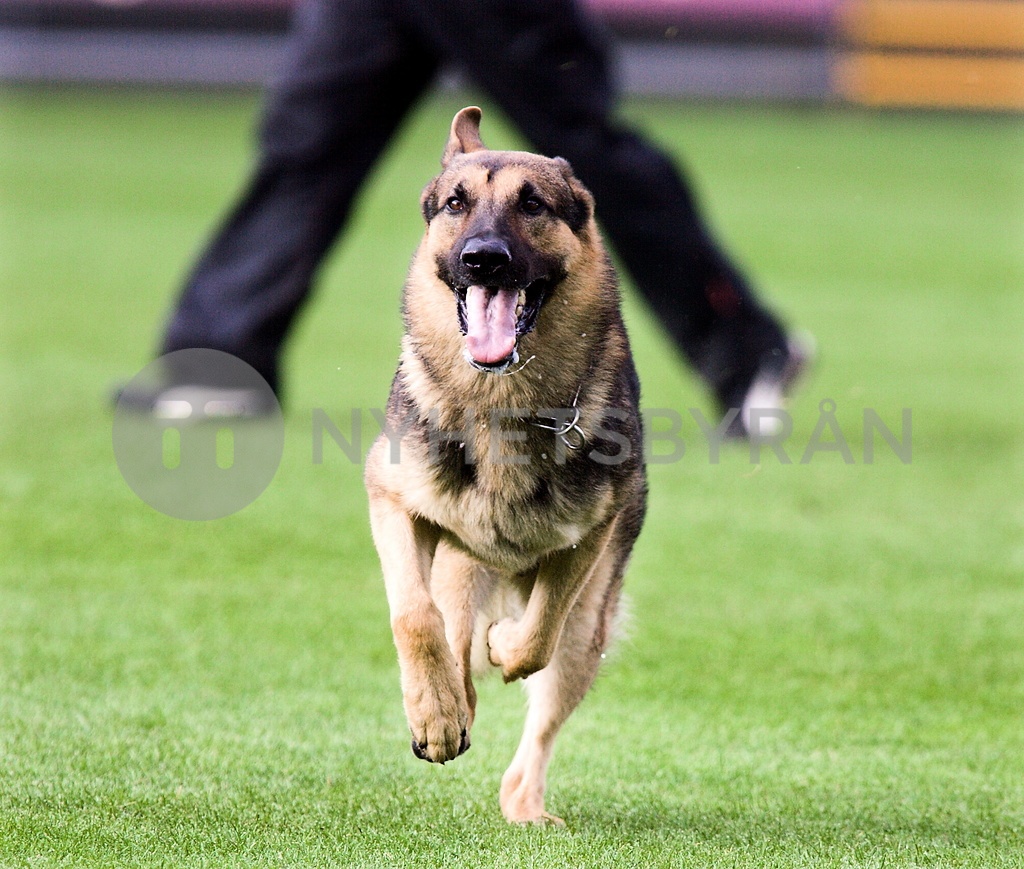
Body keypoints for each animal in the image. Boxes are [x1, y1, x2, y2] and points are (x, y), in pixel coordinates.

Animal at [364, 106, 643, 818]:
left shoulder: (586, 538)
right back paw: (450, 706)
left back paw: (525, 807)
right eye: (456, 204)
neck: (500, 402)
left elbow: (537, 633)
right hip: (461, 566)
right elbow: (414, 616)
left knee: (541, 704)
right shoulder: (392, 499)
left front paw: (505, 648)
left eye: (533, 204)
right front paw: (435, 717)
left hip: (590, 628)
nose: (483, 258)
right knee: (449, 627)